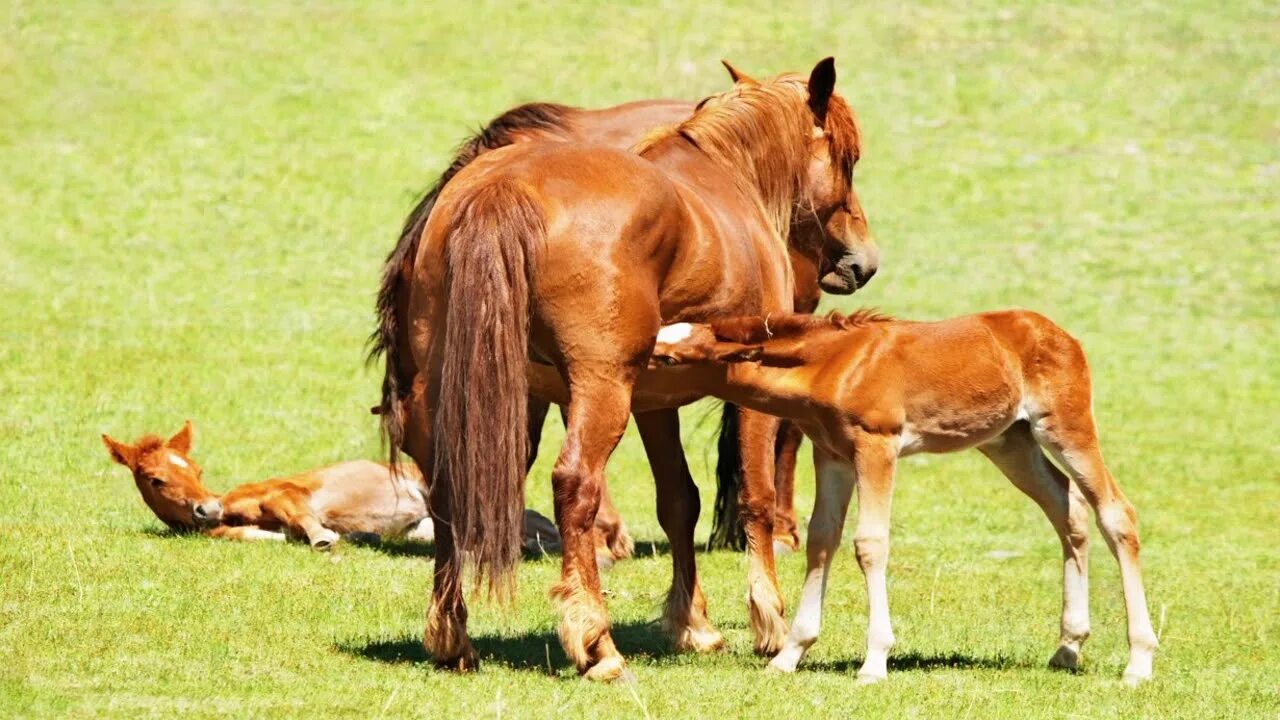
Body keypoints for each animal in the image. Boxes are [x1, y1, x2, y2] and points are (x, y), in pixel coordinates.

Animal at [396, 60, 880, 676]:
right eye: (849, 157)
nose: (862, 261)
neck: (726, 177)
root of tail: (504, 186)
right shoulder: (746, 395)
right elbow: (757, 497)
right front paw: (769, 621)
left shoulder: (656, 402)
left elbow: (679, 501)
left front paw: (693, 624)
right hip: (599, 392)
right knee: (575, 483)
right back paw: (596, 643)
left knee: (449, 484)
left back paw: (451, 636)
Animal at [655, 310, 1167, 681]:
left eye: (668, 359)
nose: (638, 373)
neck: (834, 365)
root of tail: (1061, 335)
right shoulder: (832, 455)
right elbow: (822, 540)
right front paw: (789, 656)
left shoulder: (877, 445)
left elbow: (870, 543)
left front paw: (874, 661)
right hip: (1010, 441)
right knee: (1068, 509)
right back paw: (1068, 647)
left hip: (1066, 426)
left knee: (1115, 513)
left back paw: (1138, 662)